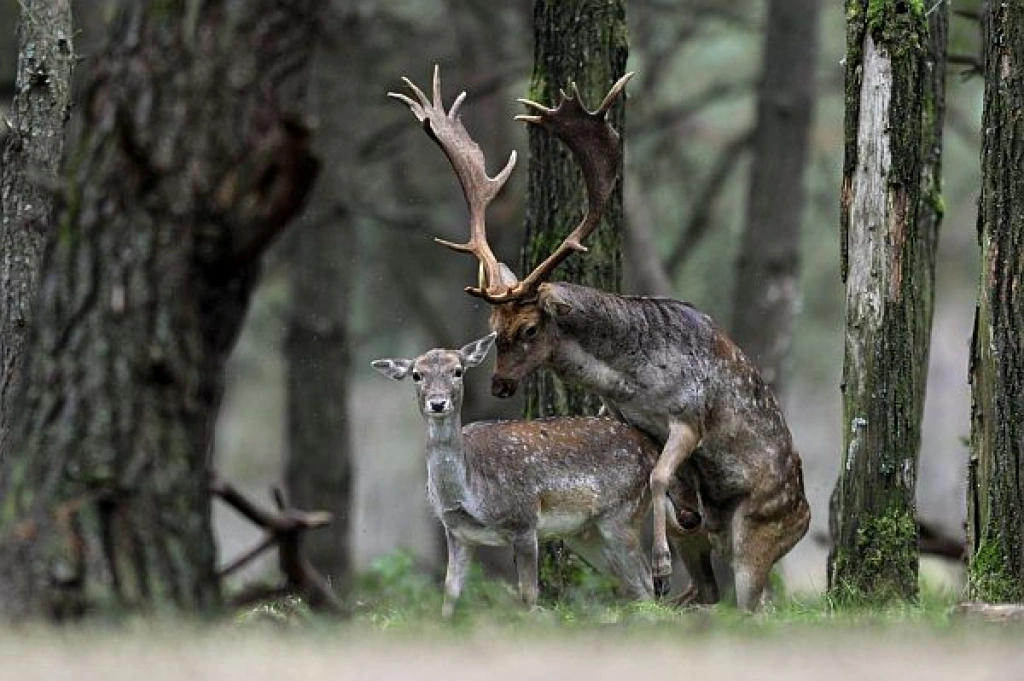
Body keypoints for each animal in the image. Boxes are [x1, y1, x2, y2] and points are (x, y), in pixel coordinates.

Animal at [376, 333, 704, 614]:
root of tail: (652, 449)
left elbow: (528, 594)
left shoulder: (524, 520)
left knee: (647, 582)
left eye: (457, 371)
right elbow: (450, 593)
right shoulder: (457, 532)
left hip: (623, 513)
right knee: (633, 585)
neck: (469, 494)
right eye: (416, 374)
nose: (438, 402)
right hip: (585, 533)